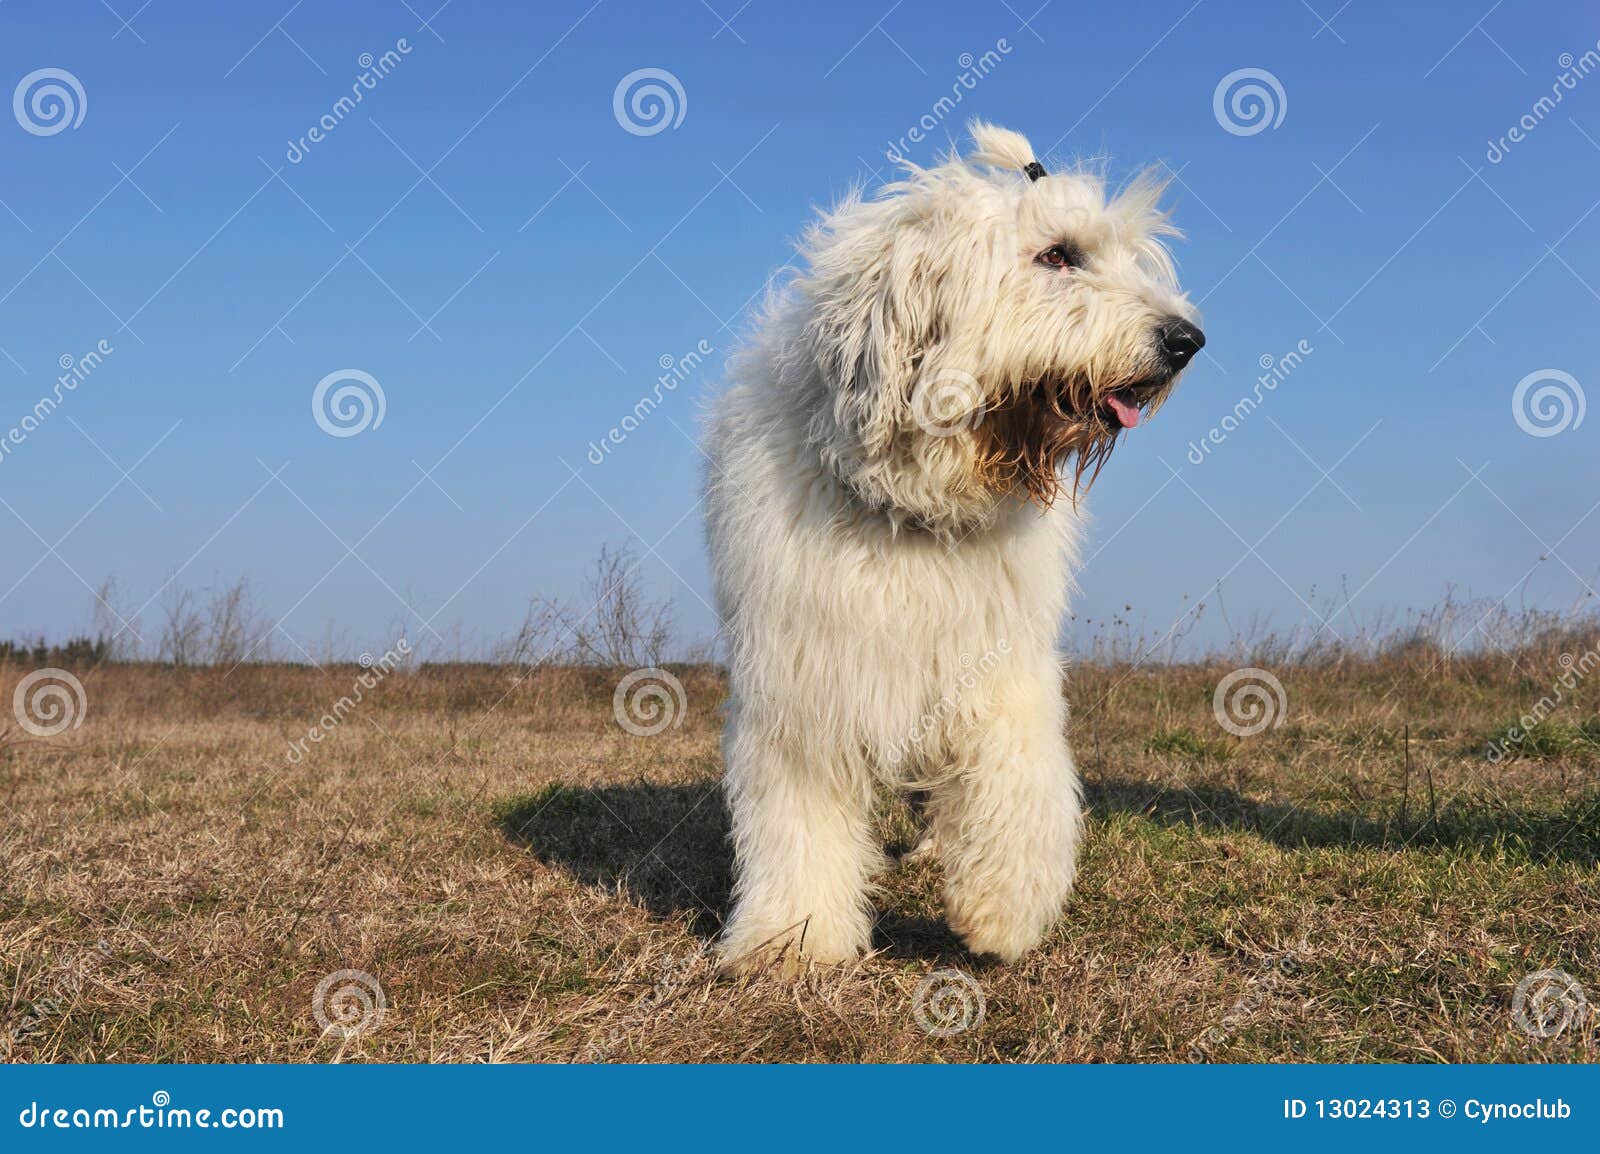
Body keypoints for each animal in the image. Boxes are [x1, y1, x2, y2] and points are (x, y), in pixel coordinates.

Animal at [704, 124, 1203, 973]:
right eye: (1057, 256)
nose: (1186, 340)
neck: (915, 509)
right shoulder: (804, 678)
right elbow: (799, 813)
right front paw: (792, 939)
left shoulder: (997, 660)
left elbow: (1014, 773)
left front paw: (1003, 908)